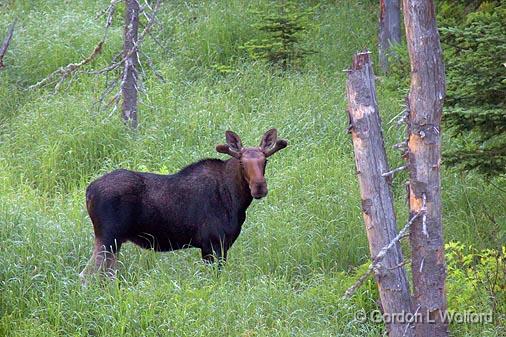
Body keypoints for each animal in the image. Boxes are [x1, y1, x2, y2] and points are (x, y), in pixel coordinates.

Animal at [80, 129, 288, 280]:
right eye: (242, 163)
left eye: (265, 161)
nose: (259, 187)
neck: (237, 200)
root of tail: (88, 191)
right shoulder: (213, 244)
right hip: (108, 237)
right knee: (86, 275)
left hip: (113, 241)